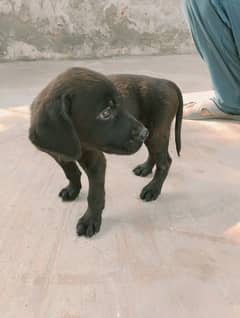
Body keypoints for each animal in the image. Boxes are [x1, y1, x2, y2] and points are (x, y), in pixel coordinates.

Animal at [29, 66, 183, 236]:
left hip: (156, 133)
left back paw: (153, 189)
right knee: (154, 155)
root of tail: (165, 81)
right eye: (105, 113)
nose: (143, 132)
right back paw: (145, 169)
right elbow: (71, 172)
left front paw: (90, 220)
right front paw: (73, 190)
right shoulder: (58, 155)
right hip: (152, 134)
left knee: (165, 162)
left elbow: (95, 195)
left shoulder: (95, 160)